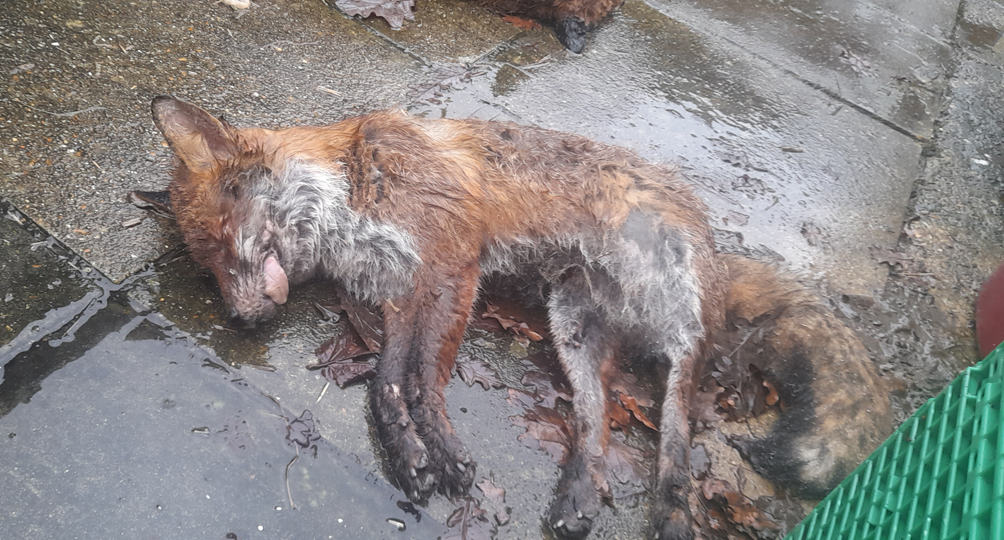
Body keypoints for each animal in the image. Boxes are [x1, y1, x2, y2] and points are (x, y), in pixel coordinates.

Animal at [146, 96, 892, 539]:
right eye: (206, 270)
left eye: (220, 243)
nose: (241, 320)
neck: (344, 190)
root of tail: (716, 250)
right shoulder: (401, 291)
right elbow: (388, 383)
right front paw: (409, 453)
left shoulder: (451, 267)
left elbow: (422, 381)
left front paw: (442, 452)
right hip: (573, 329)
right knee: (594, 425)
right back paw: (577, 496)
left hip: (676, 318)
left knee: (677, 427)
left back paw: (673, 507)